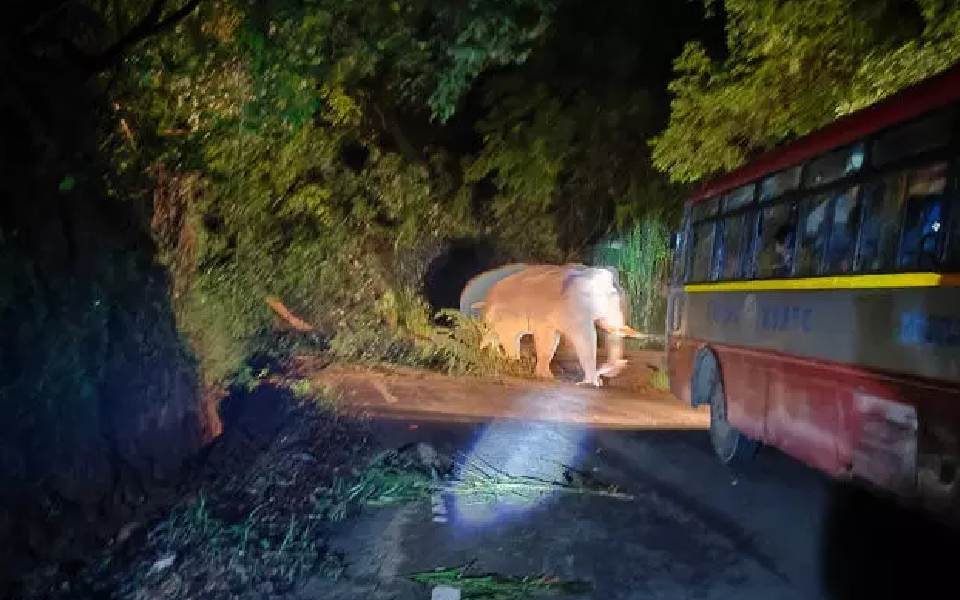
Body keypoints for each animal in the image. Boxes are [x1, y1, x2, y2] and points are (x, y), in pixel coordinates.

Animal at [464, 264, 636, 386]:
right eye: (610, 299)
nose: (625, 362)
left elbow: (554, 339)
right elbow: (581, 338)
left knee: (496, 336)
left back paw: (492, 356)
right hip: (505, 315)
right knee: (509, 338)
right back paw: (511, 364)